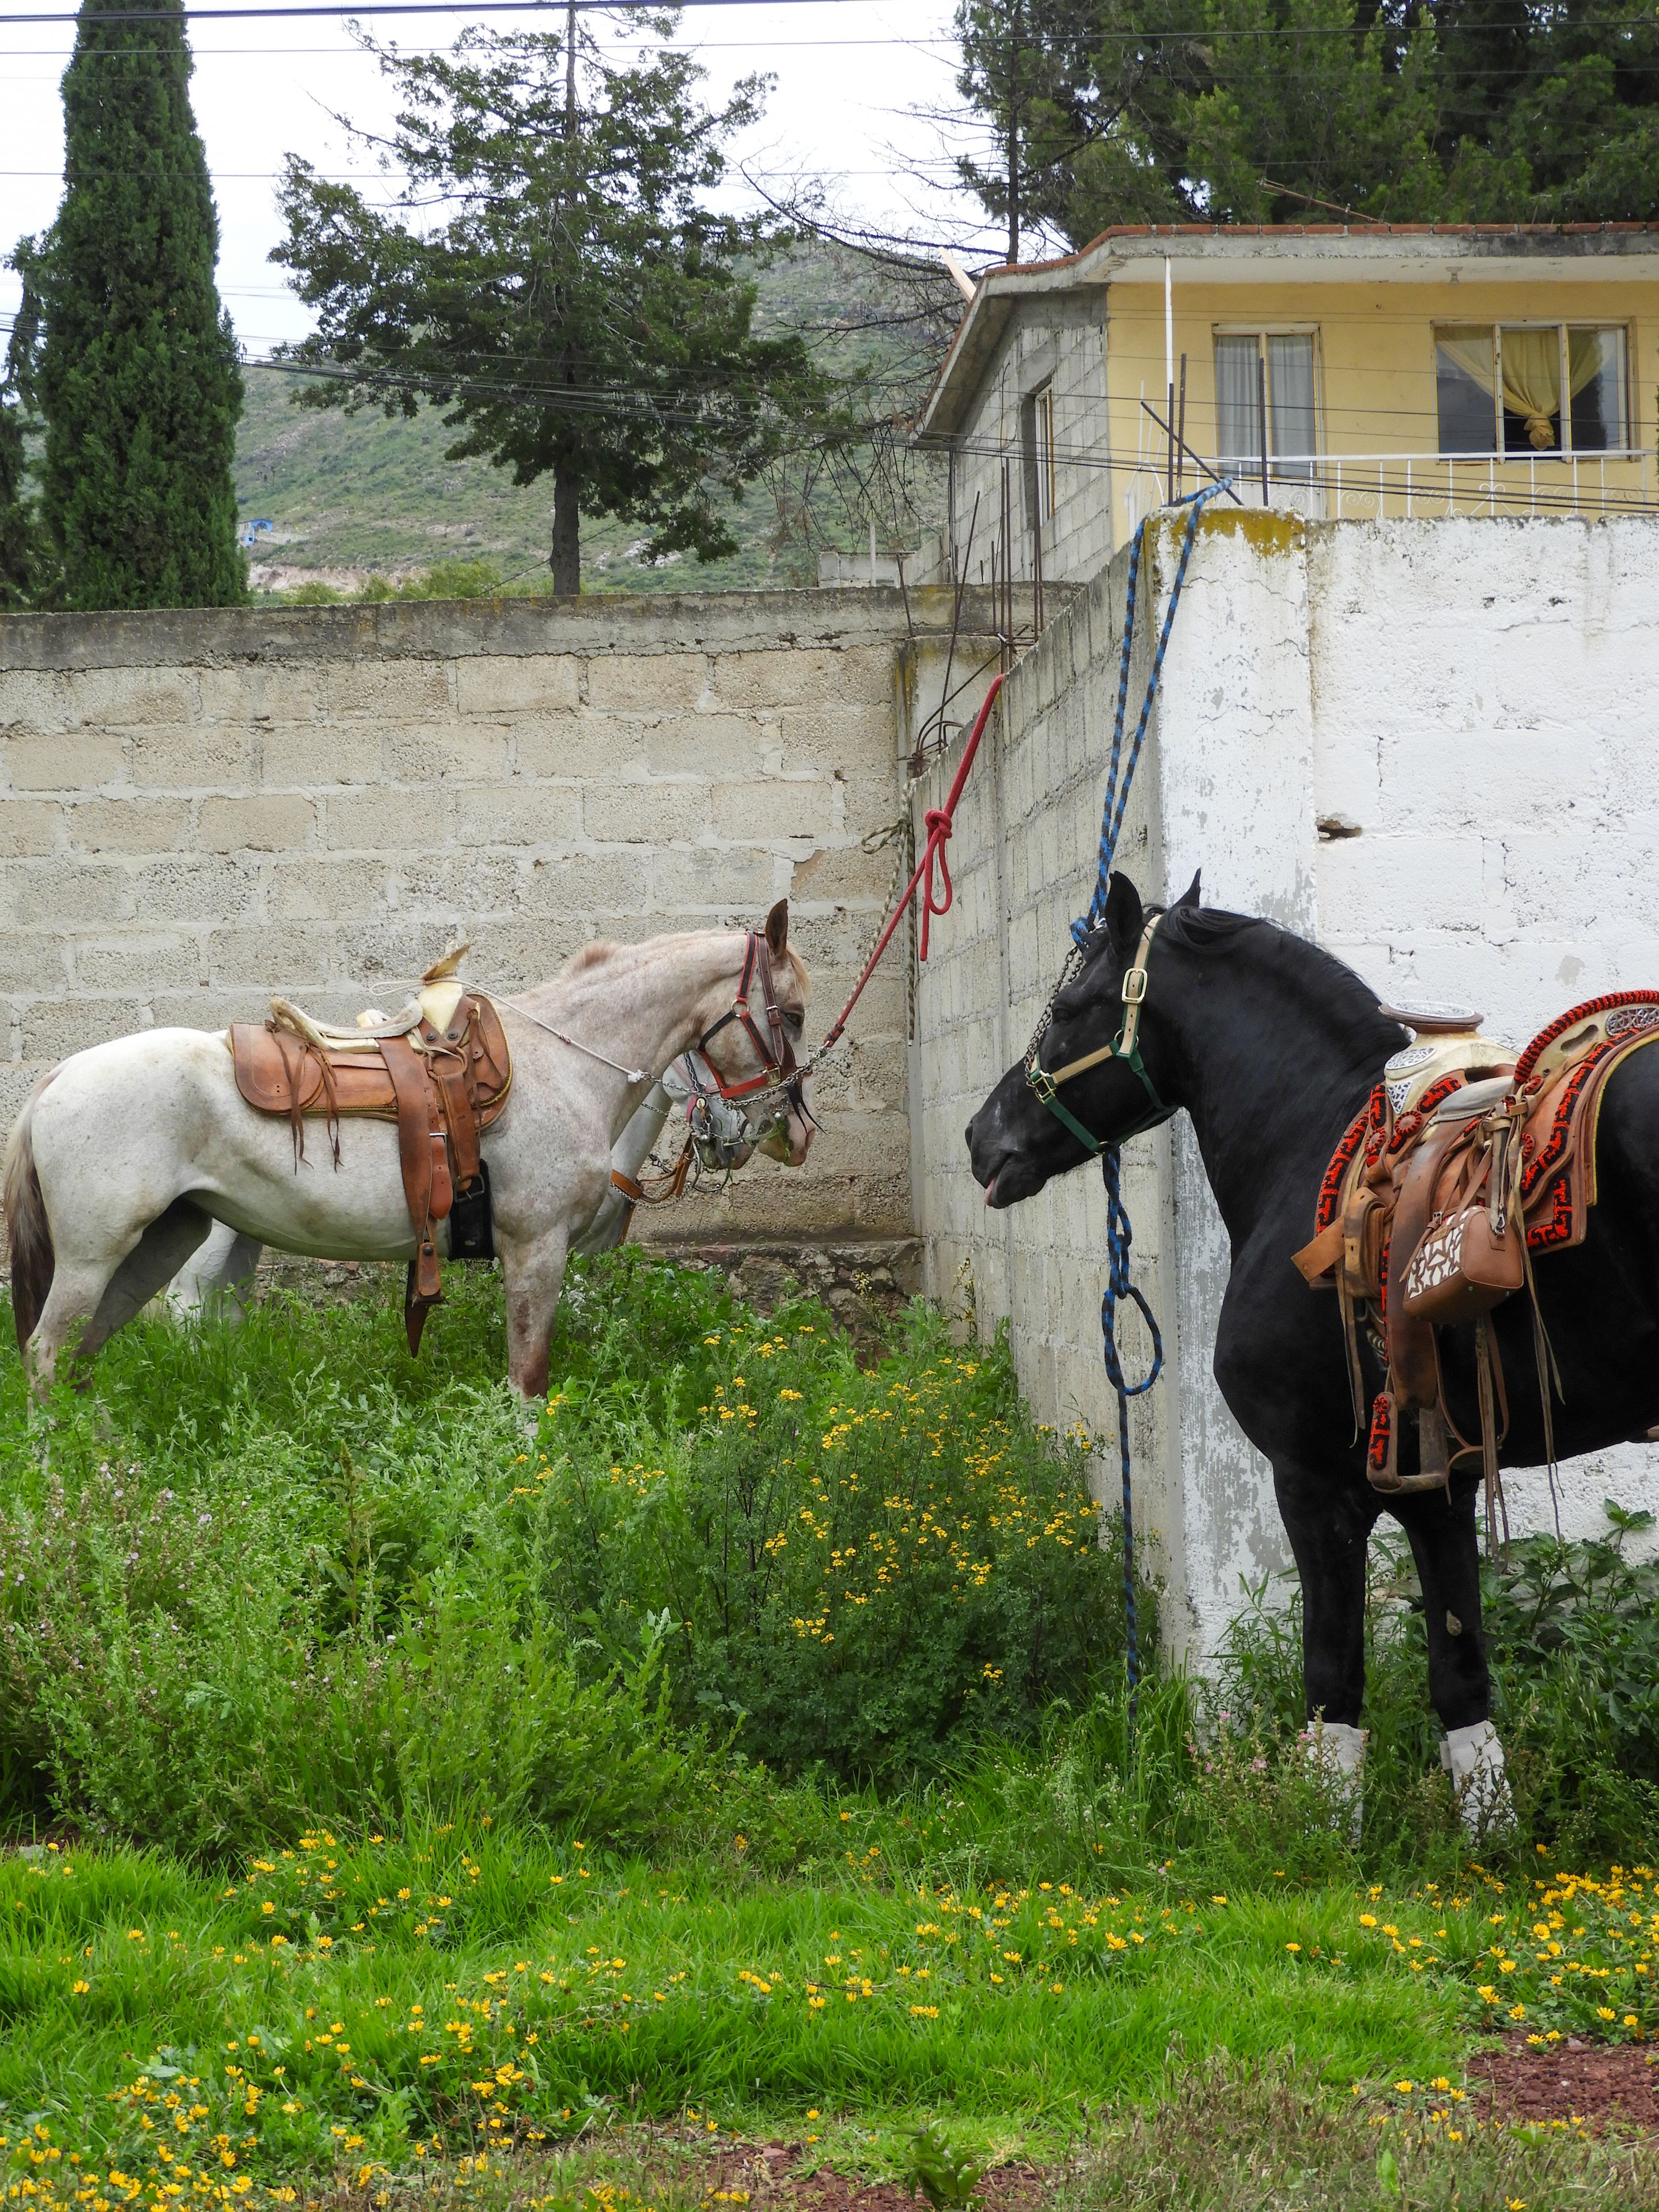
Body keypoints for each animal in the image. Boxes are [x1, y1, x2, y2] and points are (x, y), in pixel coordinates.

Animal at [4, 904, 813, 1400]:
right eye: (795, 1013)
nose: (794, 1134)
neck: (562, 1065)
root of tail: (56, 1079)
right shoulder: (538, 1249)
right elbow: (529, 1381)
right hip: (96, 1256)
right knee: (45, 1358)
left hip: (165, 1241)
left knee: (83, 1358)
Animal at [965, 870, 1659, 1830]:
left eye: (1070, 1008)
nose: (979, 1138)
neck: (1311, 1139)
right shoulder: (1437, 1486)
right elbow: (1460, 1677)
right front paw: (1490, 1841)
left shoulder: (1314, 1484)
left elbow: (1333, 1682)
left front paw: (1328, 1840)